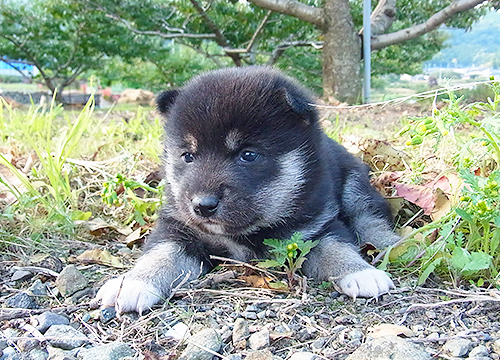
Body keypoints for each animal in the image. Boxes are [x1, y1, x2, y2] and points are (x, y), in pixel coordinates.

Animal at [96, 66, 398, 314]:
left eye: (248, 155)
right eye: (188, 156)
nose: (202, 205)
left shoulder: (317, 226)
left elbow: (337, 247)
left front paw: (360, 272)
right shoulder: (179, 229)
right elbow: (160, 254)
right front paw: (132, 283)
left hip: (355, 186)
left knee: (370, 218)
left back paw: (389, 243)